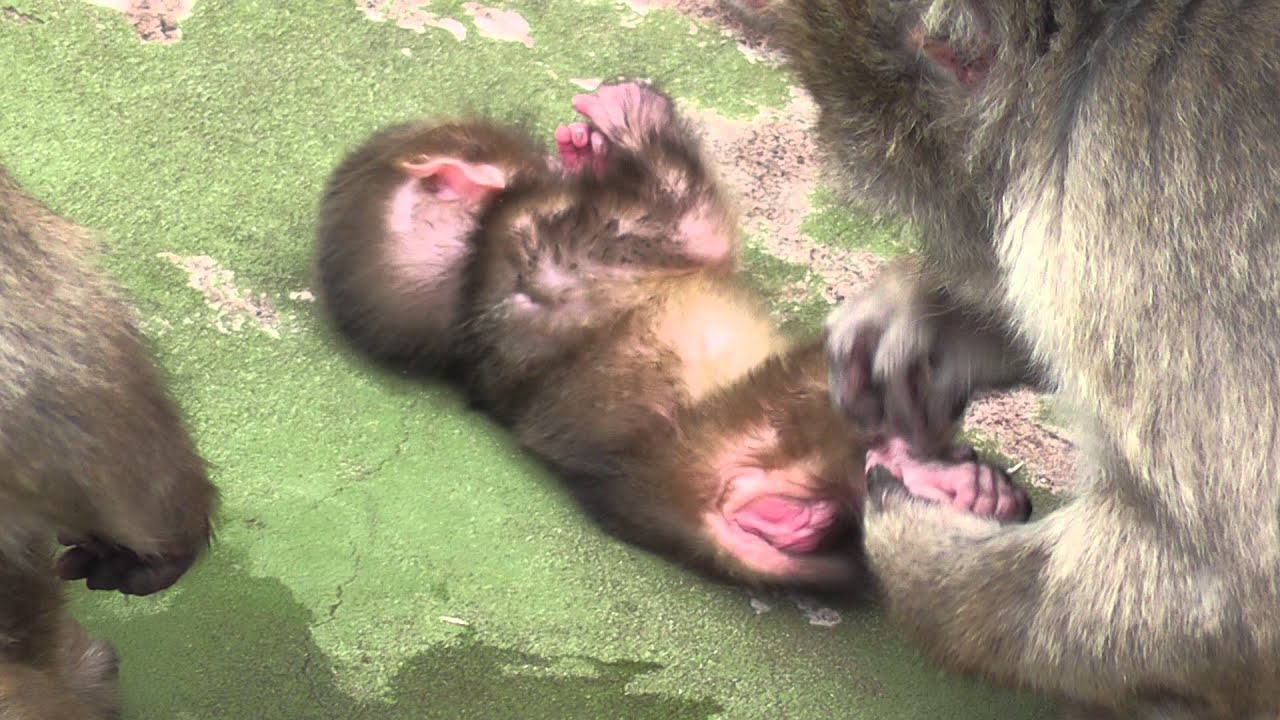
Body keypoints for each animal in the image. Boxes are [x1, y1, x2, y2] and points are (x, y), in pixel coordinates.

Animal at [314, 80, 1031, 591]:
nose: (559, 152)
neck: (467, 284)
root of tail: (672, 498)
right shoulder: (562, 226)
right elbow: (696, 228)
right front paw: (629, 120)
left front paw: (596, 141)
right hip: (765, 419)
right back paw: (934, 473)